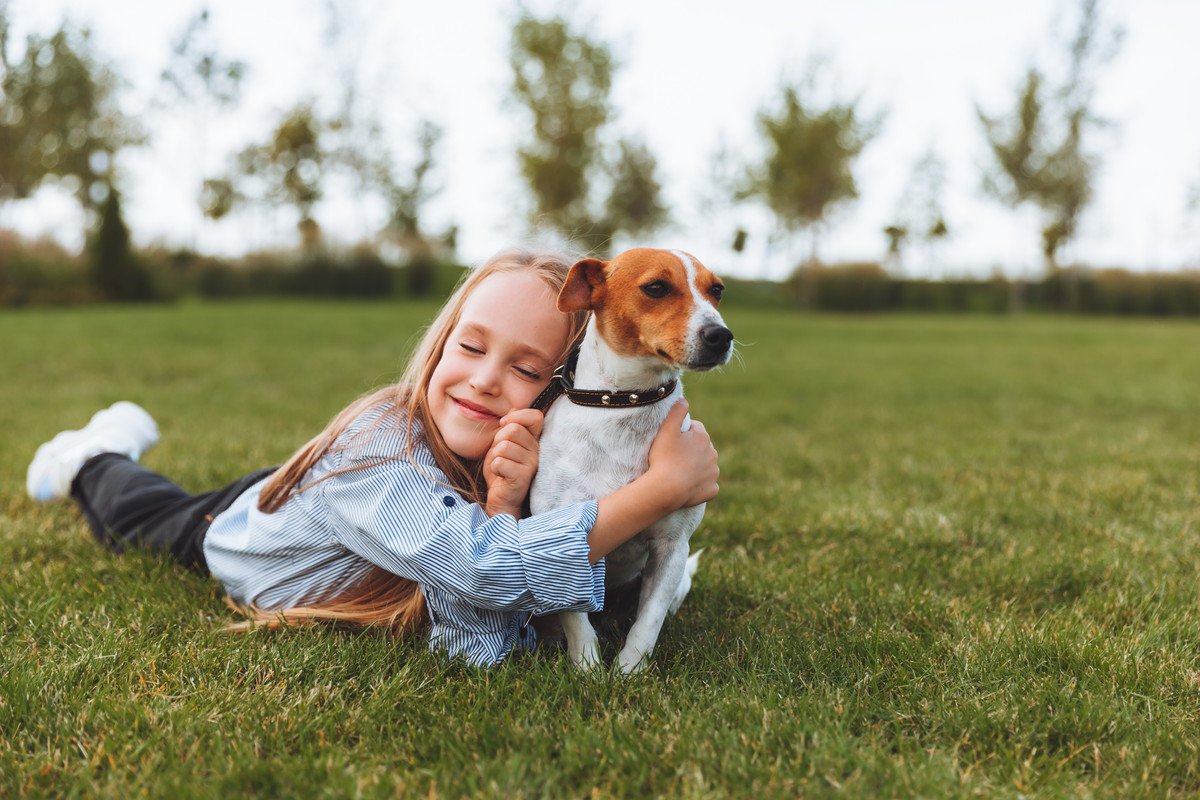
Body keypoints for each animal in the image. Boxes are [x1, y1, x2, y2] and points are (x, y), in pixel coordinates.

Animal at [532, 247, 734, 671]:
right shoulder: (560, 545)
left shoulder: (672, 548)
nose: (721, 335)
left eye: (717, 290)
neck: (626, 403)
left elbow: (648, 622)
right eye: (656, 287)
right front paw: (588, 669)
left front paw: (629, 672)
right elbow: (577, 620)